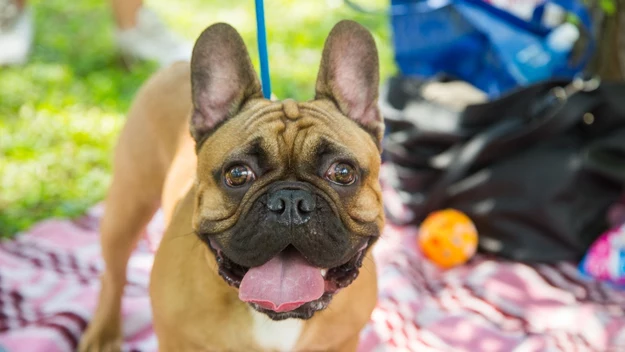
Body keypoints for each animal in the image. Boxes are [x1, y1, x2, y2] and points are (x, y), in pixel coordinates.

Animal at [76, 20, 382, 352]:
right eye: (237, 174)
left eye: (342, 172)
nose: (290, 200)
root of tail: (175, 65)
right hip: (127, 208)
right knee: (113, 275)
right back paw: (103, 333)